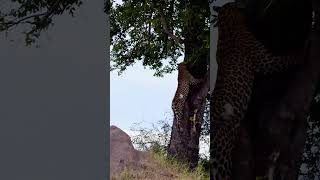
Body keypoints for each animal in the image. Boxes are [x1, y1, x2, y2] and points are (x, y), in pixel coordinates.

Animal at [209, 2, 304, 179]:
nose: (241, 5)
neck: (227, 23)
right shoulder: (265, 61)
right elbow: (285, 59)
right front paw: (303, 50)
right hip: (222, 148)